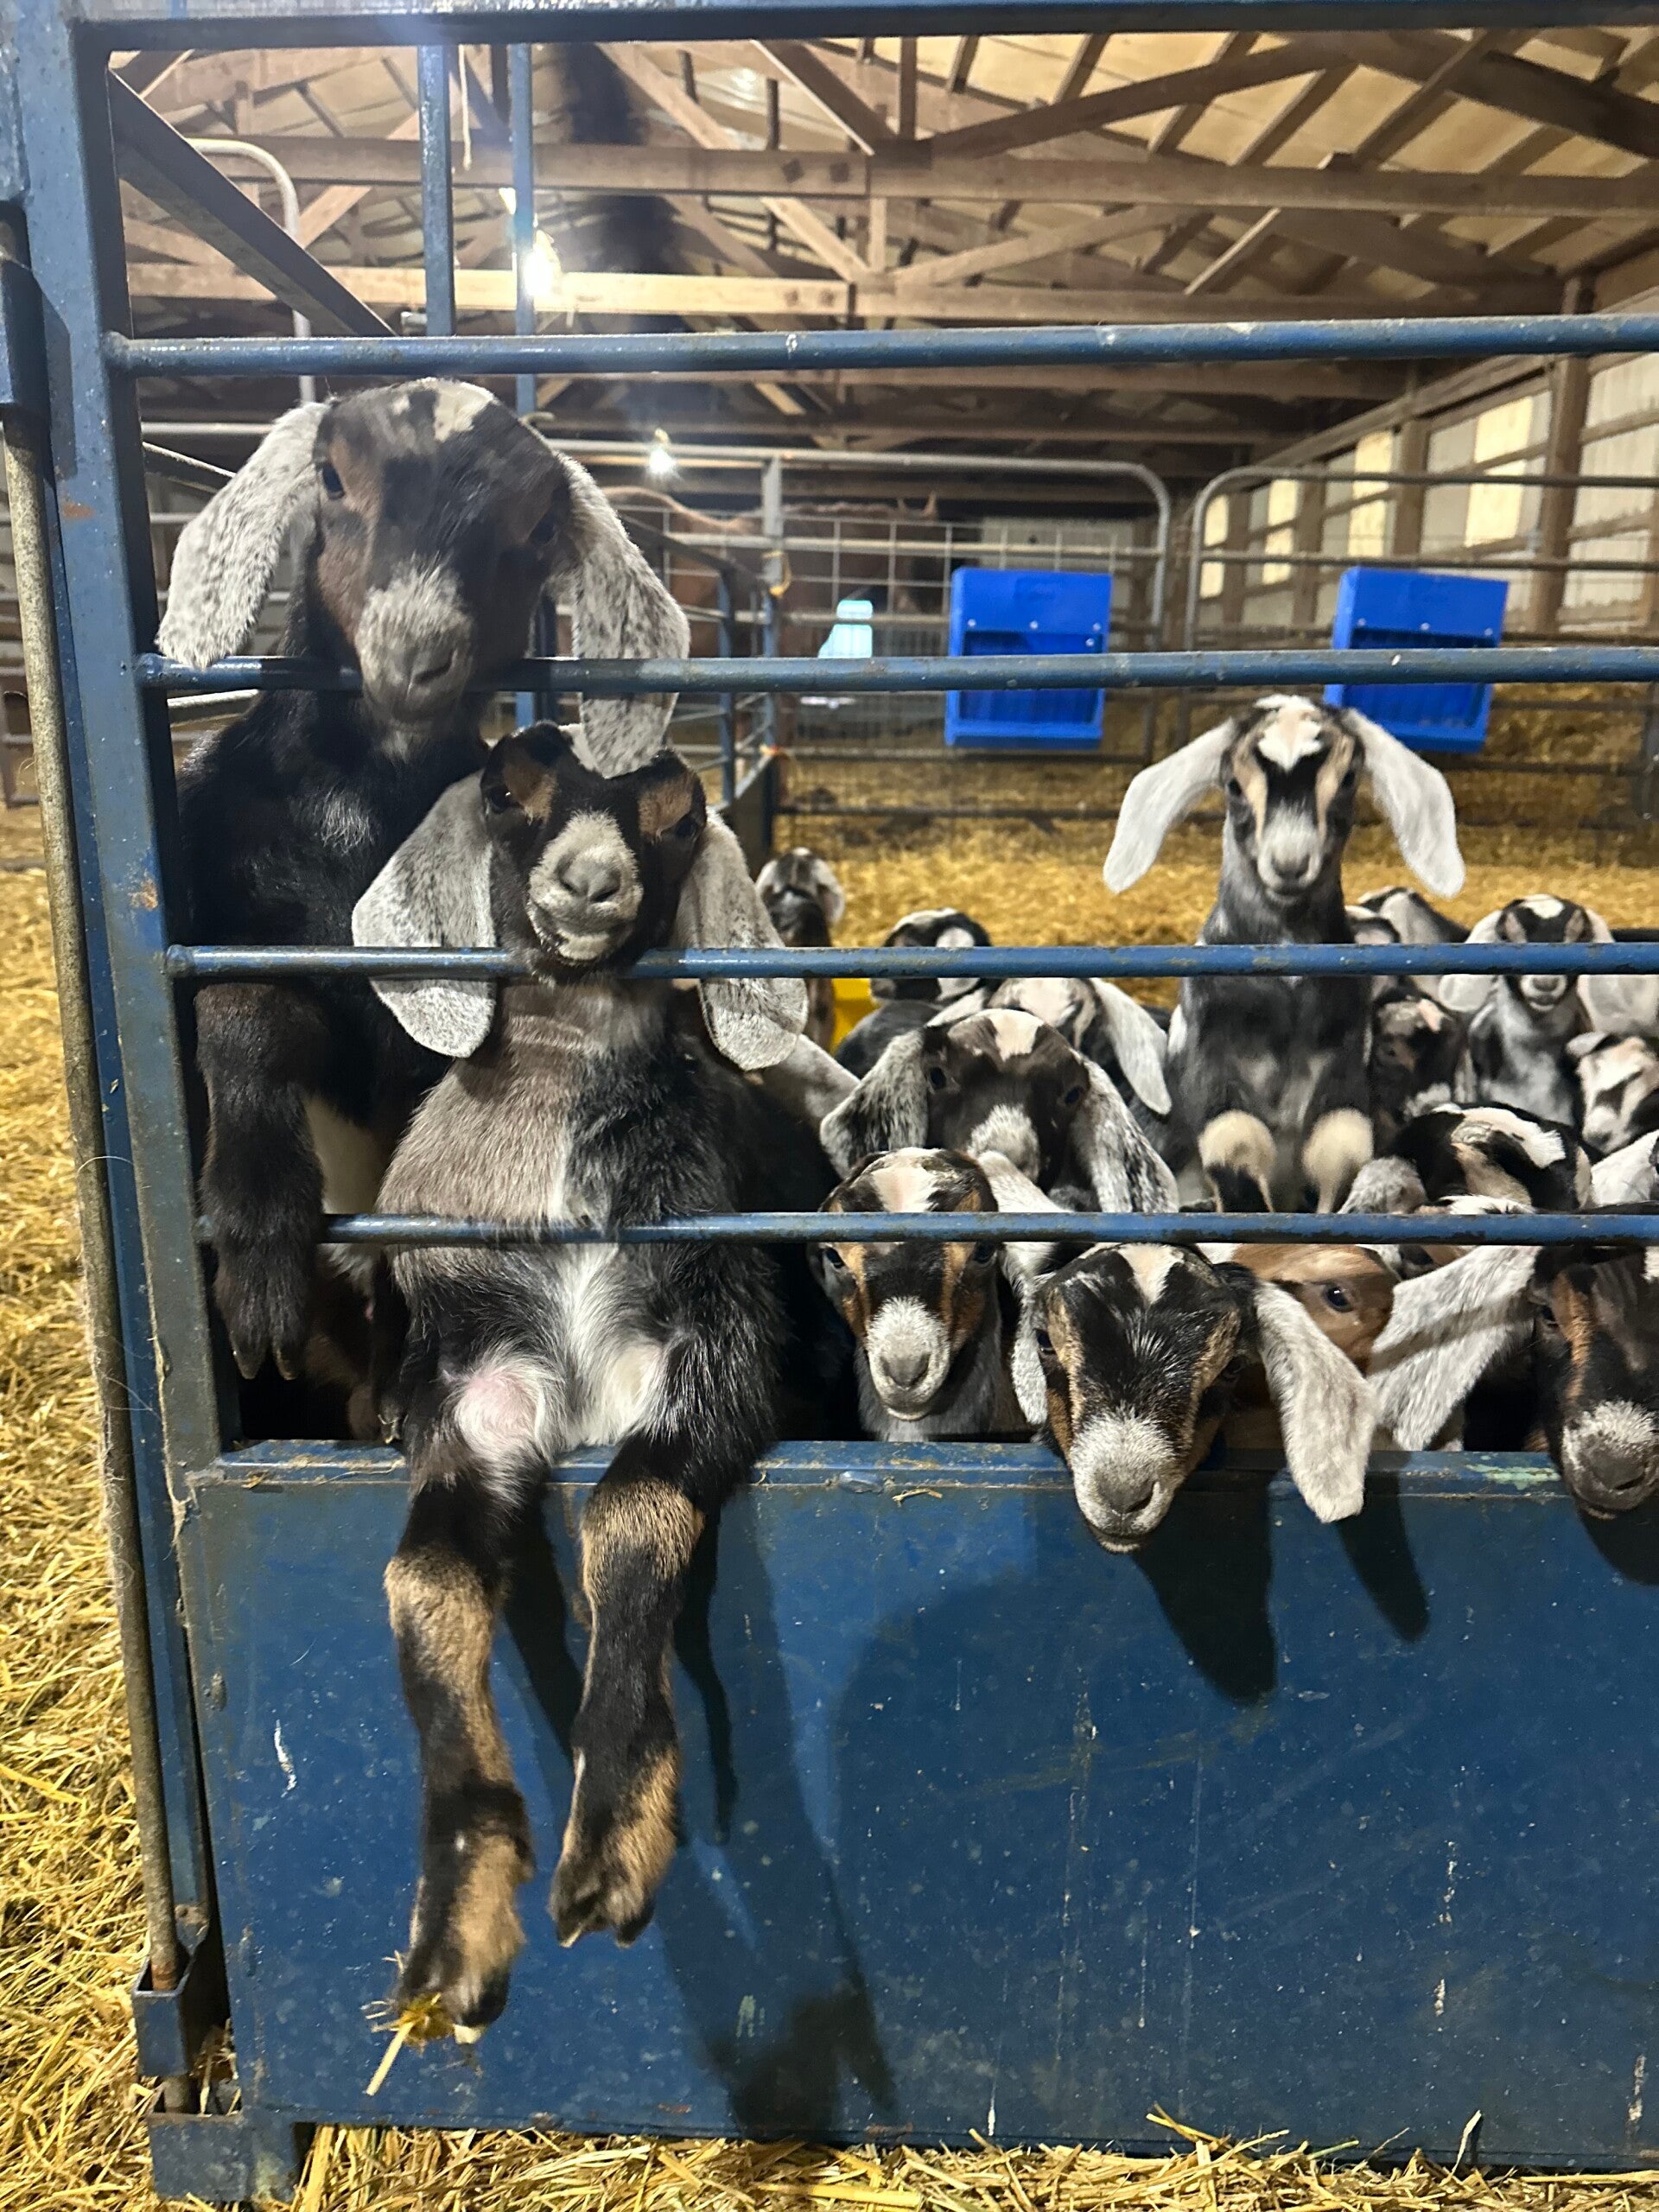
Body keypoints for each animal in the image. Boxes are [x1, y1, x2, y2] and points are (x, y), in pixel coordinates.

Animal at [157, 380, 688, 1386]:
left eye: (537, 527)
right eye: (331, 478)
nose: (414, 654)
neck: (357, 816)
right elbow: (240, 1008)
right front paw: (260, 1270)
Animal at [349, 724, 824, 2033]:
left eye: (679, 815)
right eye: (506, 791)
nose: (589, 882)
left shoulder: (710, 1354)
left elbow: (629, 1508)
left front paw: (612, 1838)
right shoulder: (474, 1390)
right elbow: (425, 1581)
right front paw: (456, 1919)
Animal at [1103, 694, 1464, 1212]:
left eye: (1348, 778)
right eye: (1234, 785)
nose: (1289, 863)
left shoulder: (1342, 1067)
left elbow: (1339, 1150)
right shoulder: (1212, 1062)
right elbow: (1236, 1143)